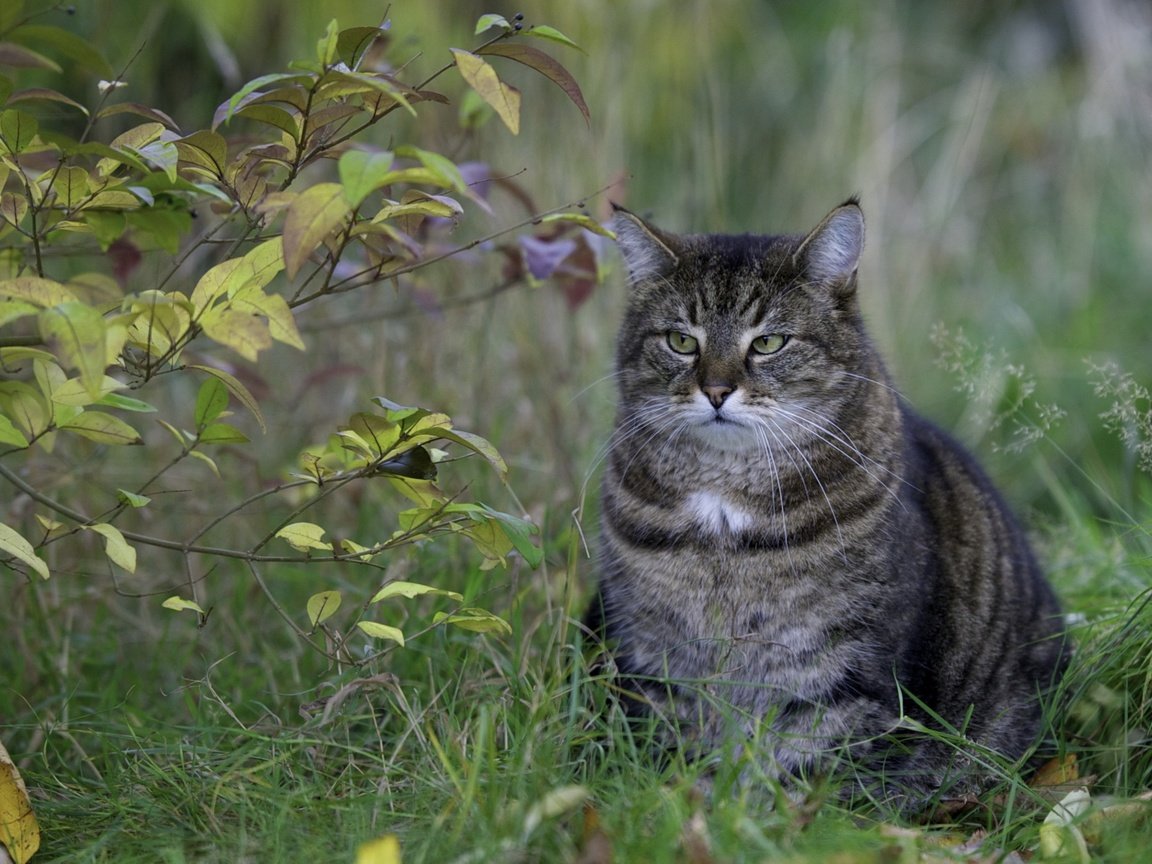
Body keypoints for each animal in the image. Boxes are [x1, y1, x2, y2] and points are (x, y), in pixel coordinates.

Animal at [585, 199, 1069, 815]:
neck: (723, 505)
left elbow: (810, 771)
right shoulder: (656, 657)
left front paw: (773, 821)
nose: (715, 390)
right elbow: (678, 751)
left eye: (769, 343)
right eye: (681, 341)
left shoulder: (844, 672)